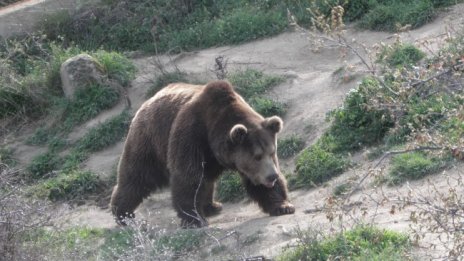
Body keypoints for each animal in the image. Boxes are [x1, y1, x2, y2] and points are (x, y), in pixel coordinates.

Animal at [110, 80, 296, 226]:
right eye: (257, 156)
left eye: (272, 152)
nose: (271, 176)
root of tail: (147, 102)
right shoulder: (192, 135)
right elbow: (187, 177)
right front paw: (195, 219)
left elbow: (257, 183)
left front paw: (283, 206)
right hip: (150, 140)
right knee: (137, 176)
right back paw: (123, 214)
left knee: (206, 179)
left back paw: (212, 206)